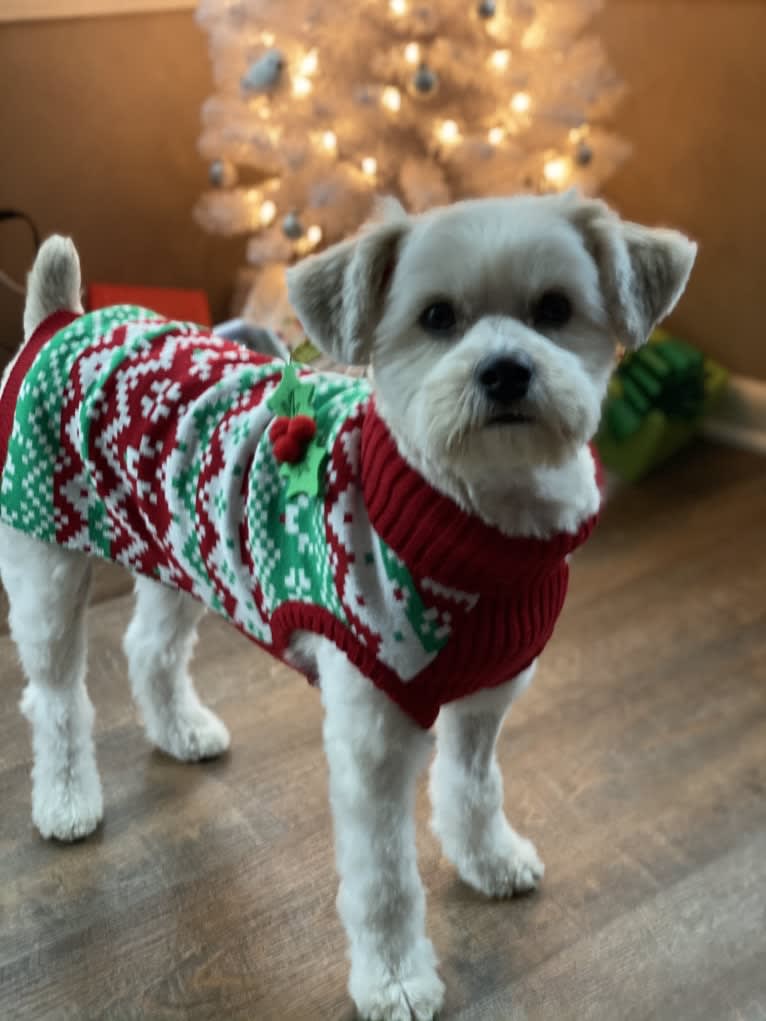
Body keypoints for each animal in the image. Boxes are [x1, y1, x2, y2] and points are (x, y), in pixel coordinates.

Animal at [0, 192, 694, 1021]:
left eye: (555, 308)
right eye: (436, 316)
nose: (505, 371)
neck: (468, 517)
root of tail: (62, 318)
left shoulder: (486, 697)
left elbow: (473, 789)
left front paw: (488, 858)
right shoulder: (373, 739)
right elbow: (385, 879)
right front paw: (394, 977)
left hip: (181, 552)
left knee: (149, 648)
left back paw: (180, 730)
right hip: (46, 566)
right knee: (56, 699)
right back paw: (66, 796)